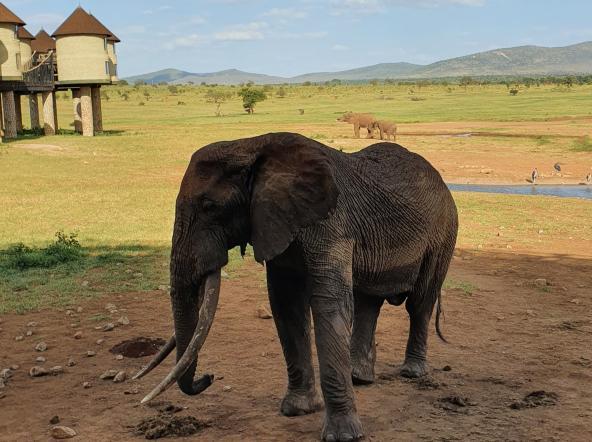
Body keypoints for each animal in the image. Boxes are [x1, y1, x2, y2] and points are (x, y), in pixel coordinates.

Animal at [136, 132, 460, 442]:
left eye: (209, 206)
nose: (209, 377)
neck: (251, 145)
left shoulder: (331, 224)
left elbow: (329, 304)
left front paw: (343, 435)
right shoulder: (277, 226)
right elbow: (286, 303)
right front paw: (297, 410)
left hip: (443, 232)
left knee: (419, 303)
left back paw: (412, 372)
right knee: (369, 301)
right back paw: (359, 377)